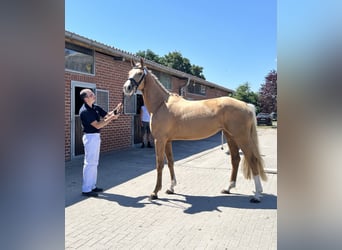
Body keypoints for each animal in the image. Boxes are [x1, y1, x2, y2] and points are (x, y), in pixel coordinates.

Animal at [123, 59, 268, 203]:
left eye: (139, 73)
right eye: (129, 72)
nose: (127, 88)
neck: (161, 104)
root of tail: (246, 105)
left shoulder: (160, 140)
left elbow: (159, 164)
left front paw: (154, 192)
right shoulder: (167, 141)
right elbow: (170, 162)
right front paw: (171, 188)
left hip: (241, 137)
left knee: (252, 159)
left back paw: (257, 195)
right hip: (230, 136)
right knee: (236, 159)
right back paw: (228, 188)